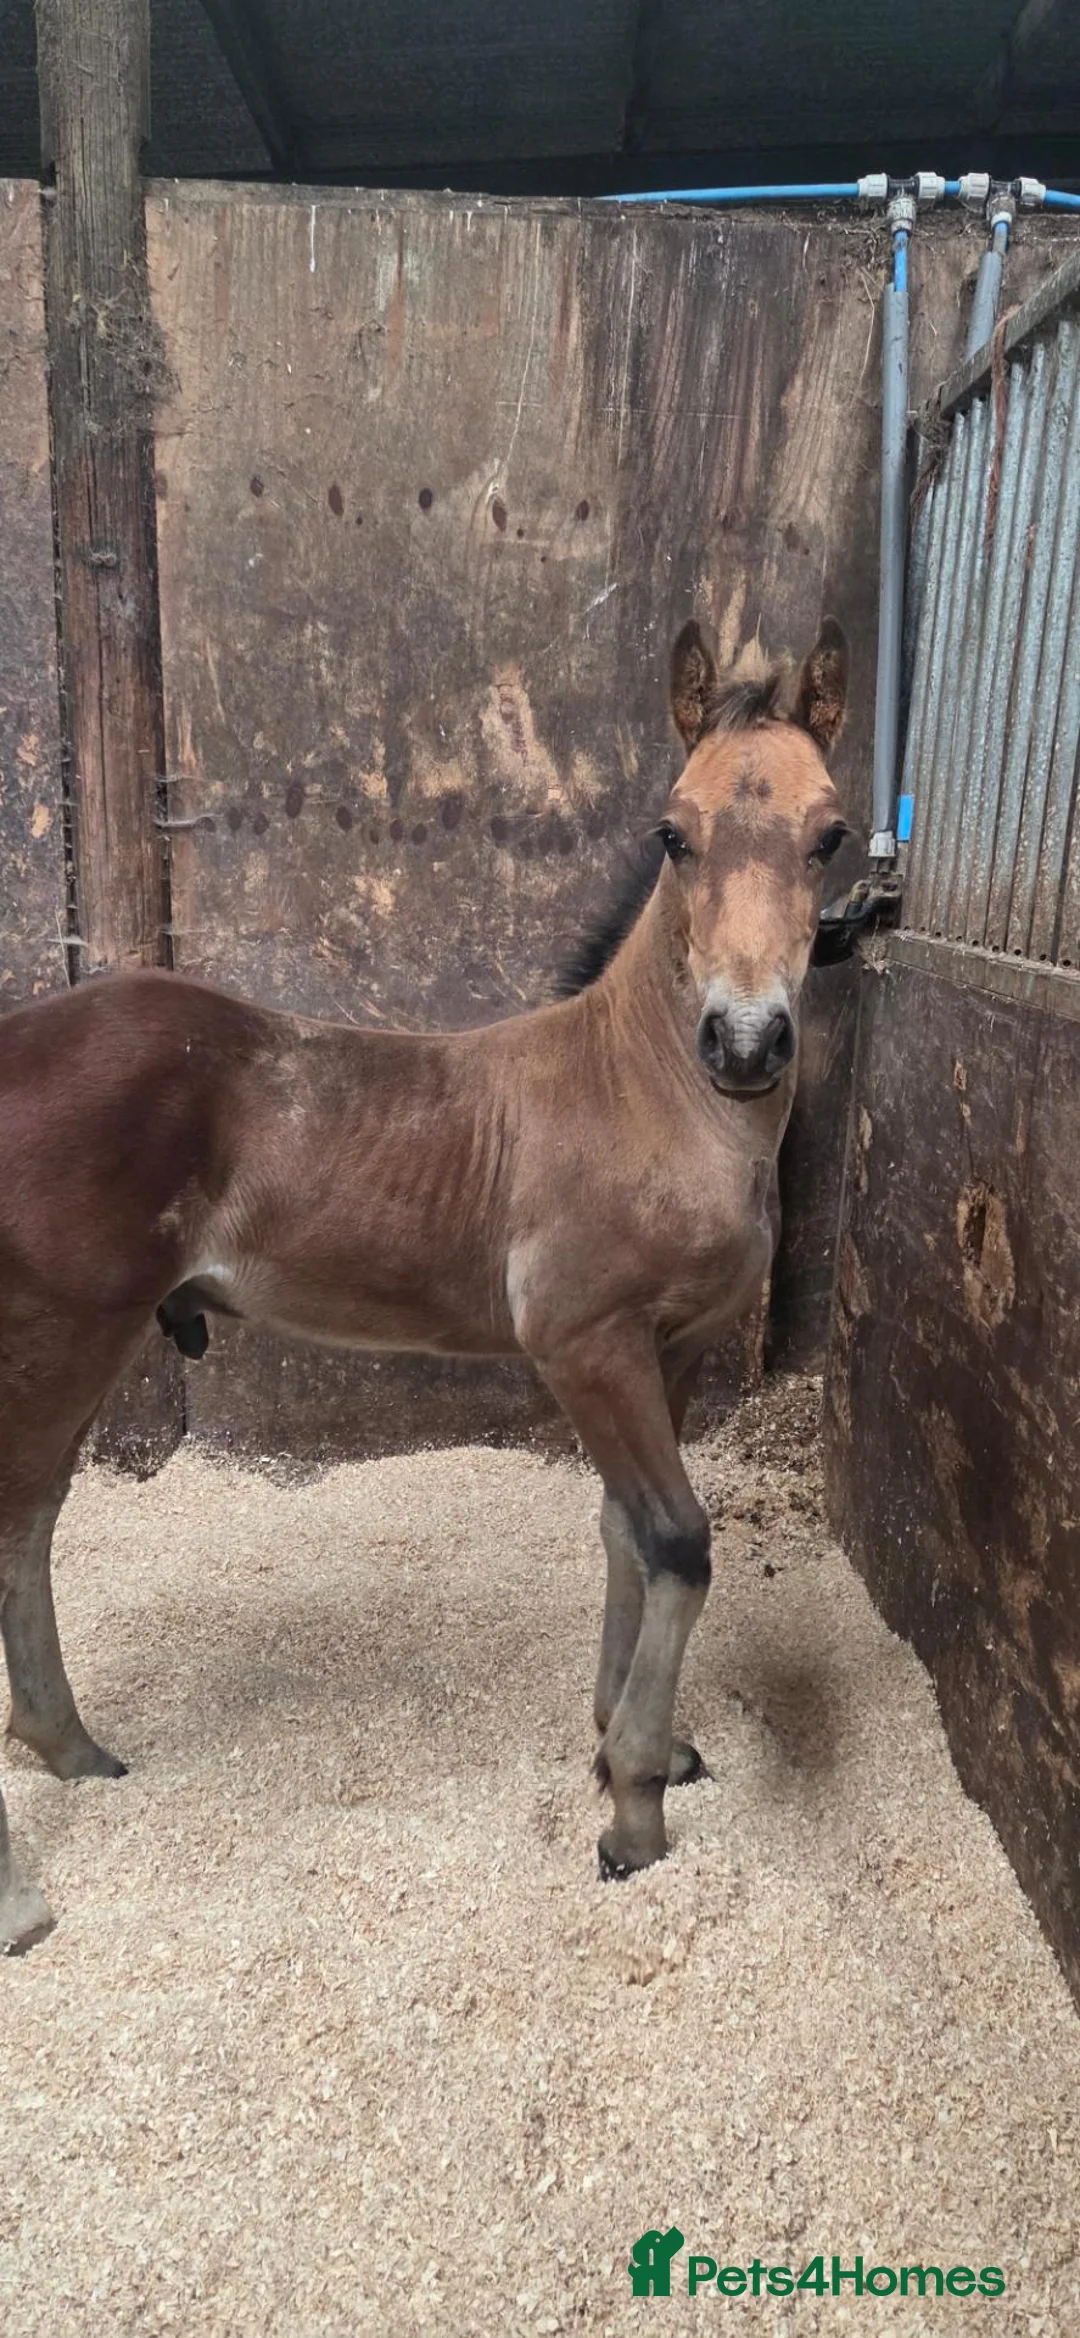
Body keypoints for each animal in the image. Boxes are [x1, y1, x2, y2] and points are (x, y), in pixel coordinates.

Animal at [0, 614, 849, 1950]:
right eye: (675, 831)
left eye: (831, 835)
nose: (750, 1042)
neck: (644, 1093)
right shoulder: (584, 1344)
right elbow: (675, 1539)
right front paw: (633, 1817)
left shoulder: (665, 1349)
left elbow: (622, 1526)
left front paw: (631, 1745)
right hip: (61, 1330)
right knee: (18, 1517)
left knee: (28, 1521)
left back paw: (71, 1747)